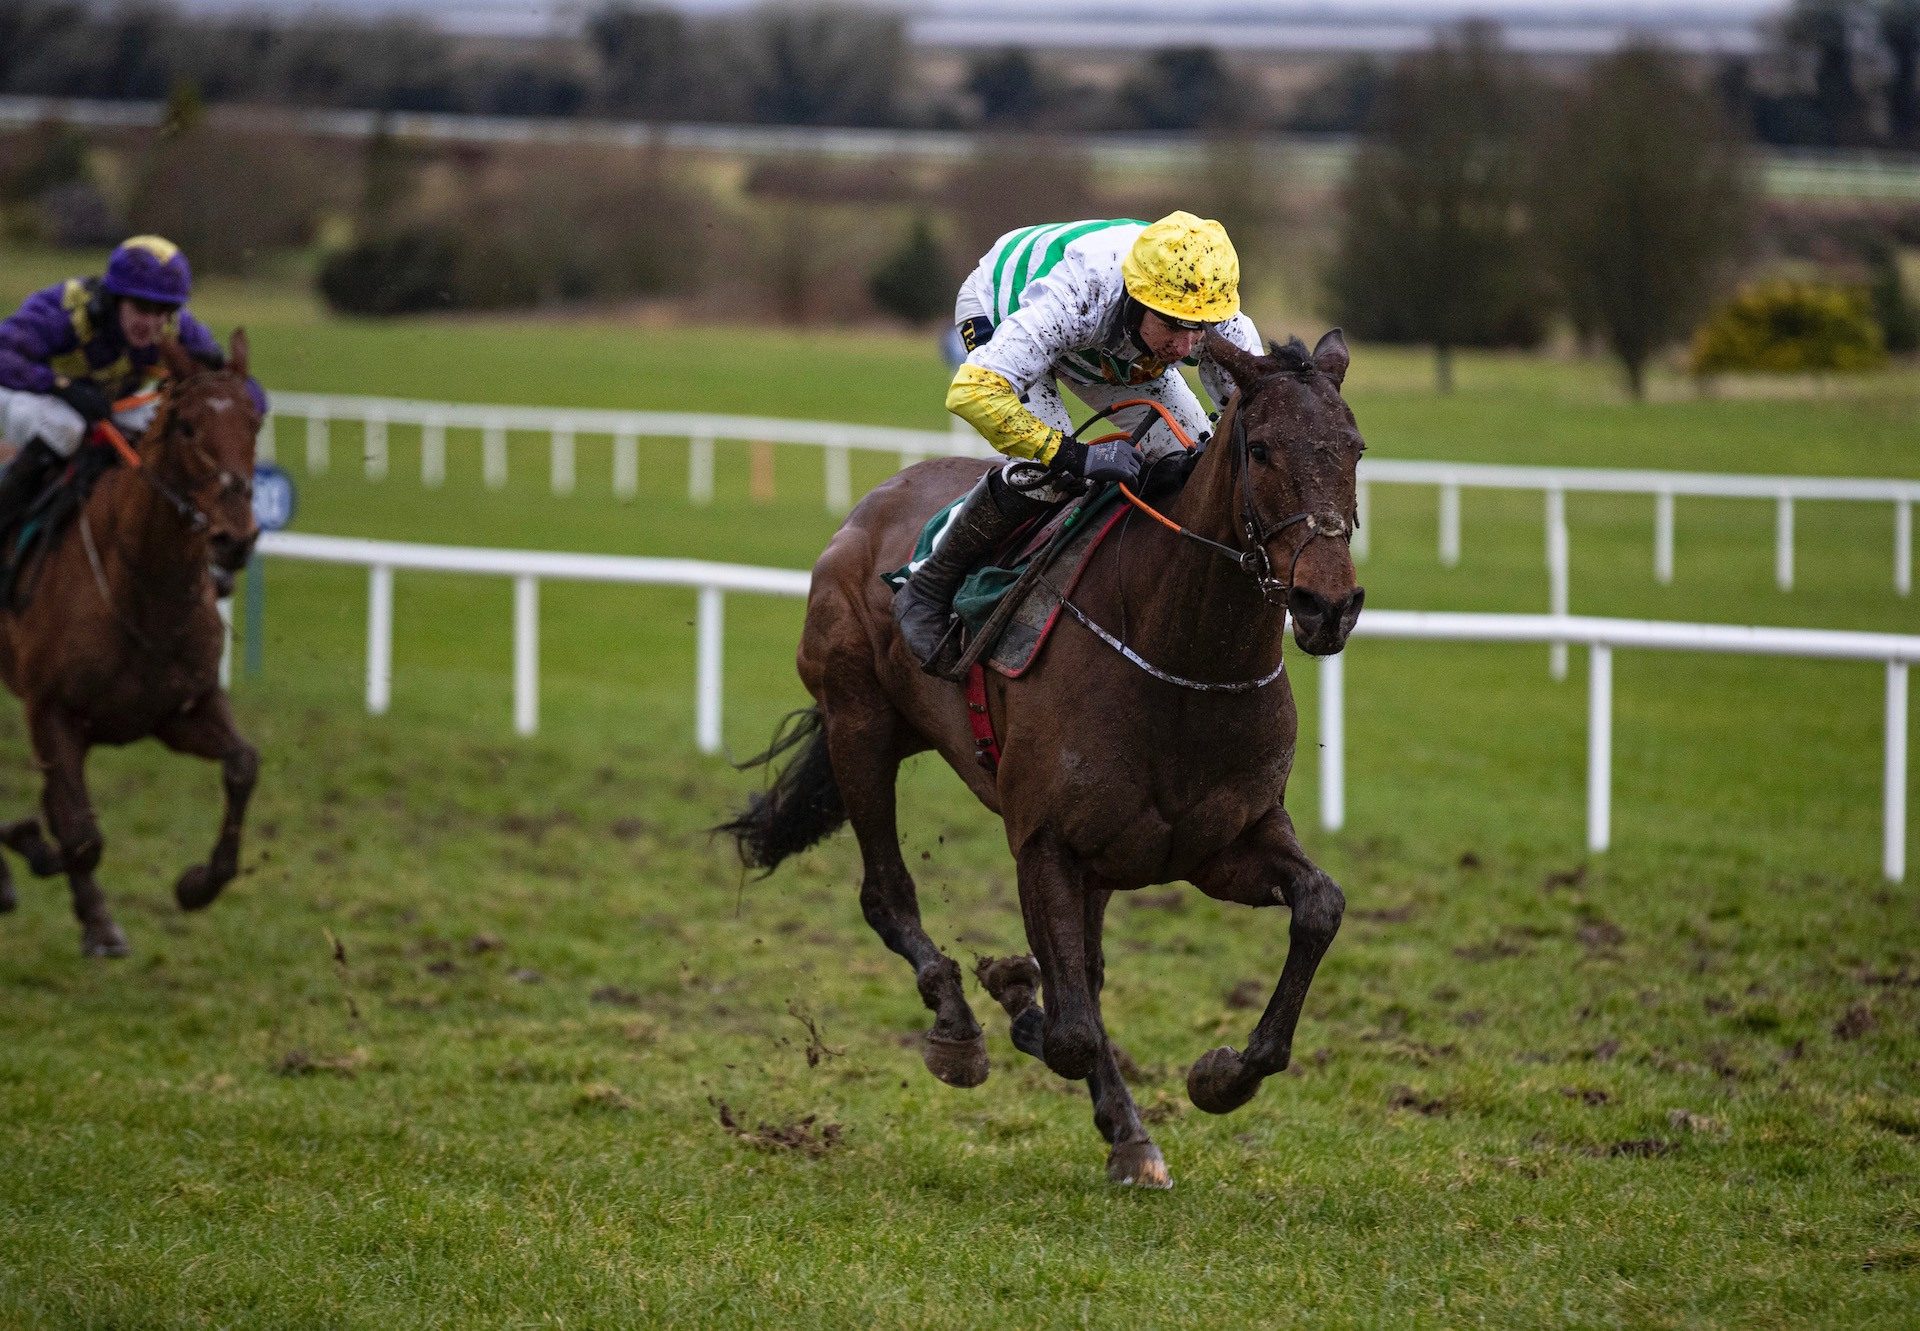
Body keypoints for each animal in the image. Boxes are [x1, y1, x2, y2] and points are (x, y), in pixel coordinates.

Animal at [0, 332, 263, 956]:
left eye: (255, 421)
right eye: (187, 427)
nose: (235, 539)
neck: (143, 590)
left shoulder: (178, 708)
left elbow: (243, 764)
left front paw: (197, 884)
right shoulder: (52, 711)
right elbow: (79, 834)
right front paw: (33, 849)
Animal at [725, 332, 1374, 1183]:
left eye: (1355, 448)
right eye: (1261, 448)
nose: (1326, 605)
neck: (1181, 660)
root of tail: (870, 507)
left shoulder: (1223, 843)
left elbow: (1320, 905)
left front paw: (1221, 1074)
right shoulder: (1045, 843)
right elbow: (1068, 1028)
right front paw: (1012, 997)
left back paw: (1122, 1125)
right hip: (858, 724)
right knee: (887, 896)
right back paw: (960, 1026)